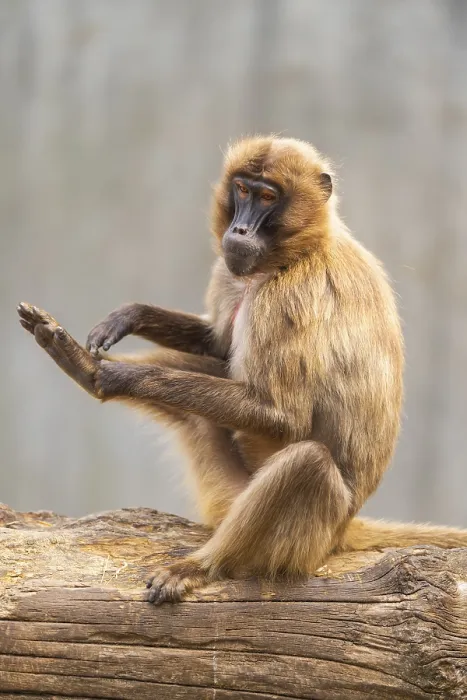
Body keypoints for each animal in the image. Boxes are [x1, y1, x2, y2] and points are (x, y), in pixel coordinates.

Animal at [17, 135, 467, 605]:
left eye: (268, 197)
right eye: (242, 191)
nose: (240, 230)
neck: (297, 250)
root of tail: (345, 527)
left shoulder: (288, 299)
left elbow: (284, 416)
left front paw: (114, 376)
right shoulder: (231, 271)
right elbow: (217, 345)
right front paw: (128, 319)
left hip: (311, 537)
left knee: (307, 462)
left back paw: (202, 566)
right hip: (231, 492)